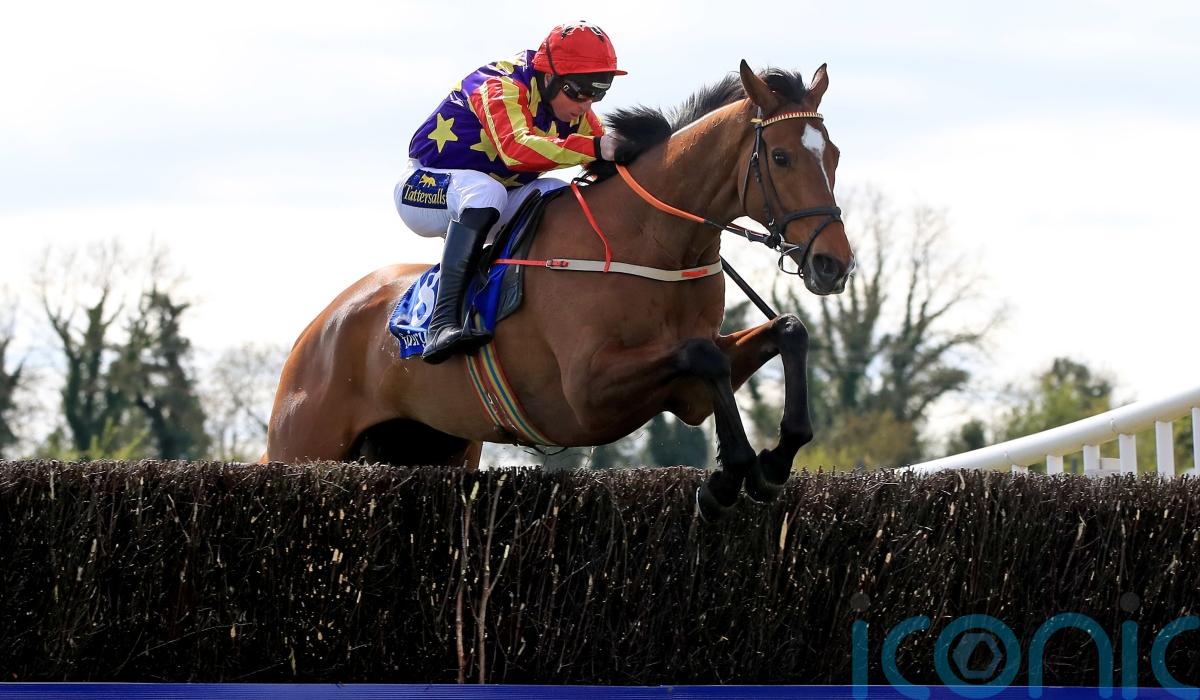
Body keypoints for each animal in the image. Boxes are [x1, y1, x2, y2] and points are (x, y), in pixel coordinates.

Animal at [266, 61, 855, 519]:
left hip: (438, 446)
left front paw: (773, 462)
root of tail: (319, 327)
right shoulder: (586, 392)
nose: (833, 264)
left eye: (834, 155)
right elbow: (702, 354)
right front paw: (728, 477)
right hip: (303, 448)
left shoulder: (683, 393)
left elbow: (788, 331)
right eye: (780, 157)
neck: (650, 239)